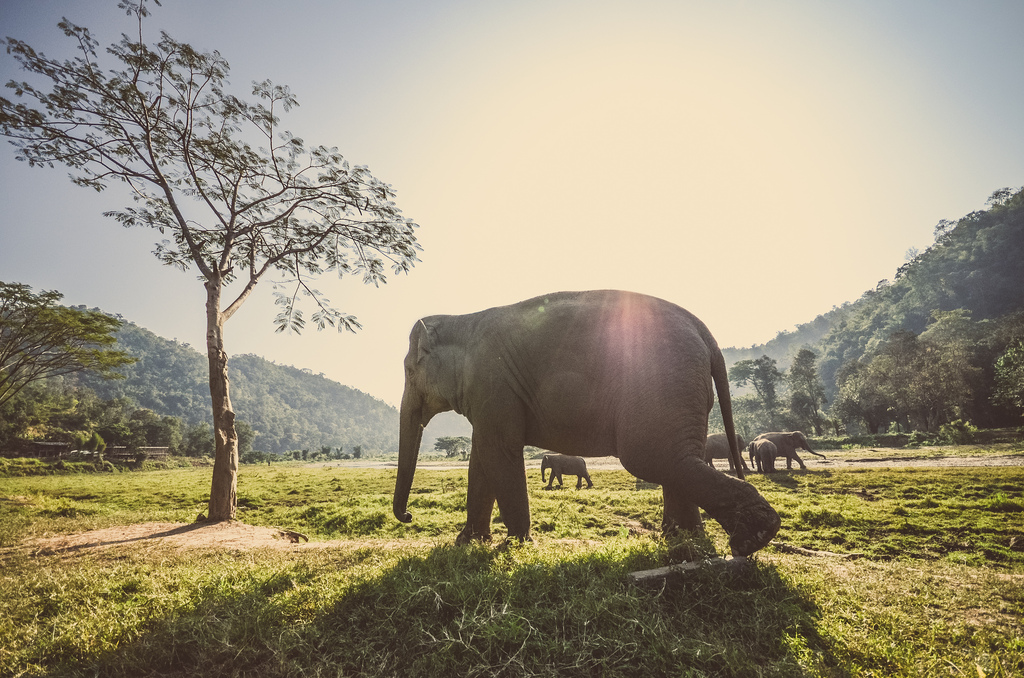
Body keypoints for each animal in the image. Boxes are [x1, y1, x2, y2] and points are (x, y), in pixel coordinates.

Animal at [392, 290, 781, 557]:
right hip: (687, 392)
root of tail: (705, 333)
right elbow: (482, 458)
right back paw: (684, 542)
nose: (408, 516)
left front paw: (515, 545)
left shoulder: (493, 385)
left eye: (409, 371)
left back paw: (752, 537)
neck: (462, 319)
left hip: (665, 384)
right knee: (681, 457)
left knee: (654, 457)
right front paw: (468, 542)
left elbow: (499, 451)